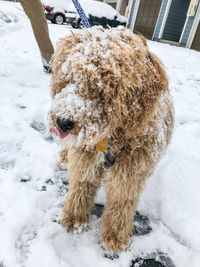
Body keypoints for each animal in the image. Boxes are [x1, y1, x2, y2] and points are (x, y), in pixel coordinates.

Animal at [48, 27, 173, 253]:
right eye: (70, 76)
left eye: (101, 88)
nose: (63, 122)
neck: (111, 139)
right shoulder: (85, 157)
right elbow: (81, 185)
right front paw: (74, 218)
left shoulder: (130, 173)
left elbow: (121, 202)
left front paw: (114, 235)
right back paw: (63, 159)